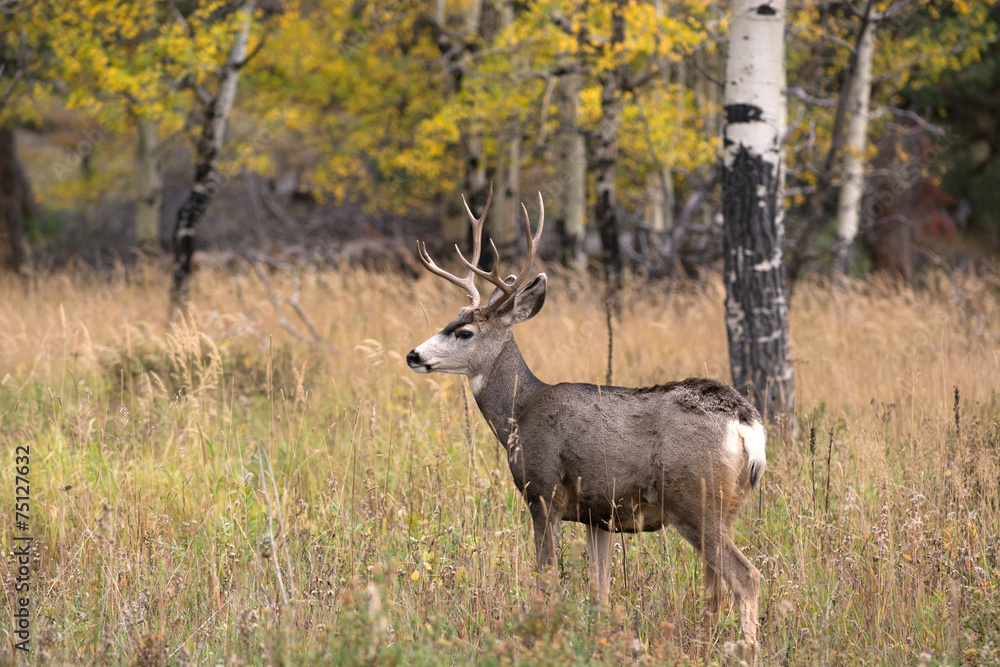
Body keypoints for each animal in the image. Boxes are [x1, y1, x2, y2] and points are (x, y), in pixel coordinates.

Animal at [405, 185, 766, 656]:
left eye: (464, 332)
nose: (413, 355)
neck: (520, 413)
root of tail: (746, 423)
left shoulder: (543, 492)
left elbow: (545, 578)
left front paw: (539, 635)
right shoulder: (600, 514)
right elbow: (601, 590)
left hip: (695, 499)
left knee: (746, 576)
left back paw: (745, 650)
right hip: (725, 507)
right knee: (717, 583)